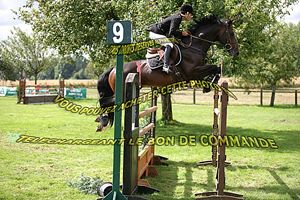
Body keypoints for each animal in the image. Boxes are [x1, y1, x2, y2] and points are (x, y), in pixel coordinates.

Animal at [96, 15, 239, 131]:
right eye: (232, 33)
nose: (236, 53)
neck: (194, 47)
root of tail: (113, 69)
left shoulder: (195, 73)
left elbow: (215, 70)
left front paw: (208, 85)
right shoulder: (192, 72)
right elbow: (215, 68)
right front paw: (210, 83)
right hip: (121, 91)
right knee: (105, 101)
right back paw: (102, 121)